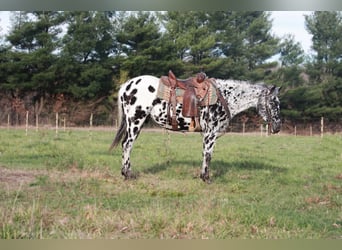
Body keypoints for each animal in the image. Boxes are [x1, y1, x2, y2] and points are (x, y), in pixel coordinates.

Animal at [109, 73, 280, 182]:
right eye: (273, 102)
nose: (277, 127)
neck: (225, 97)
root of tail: (127, 85)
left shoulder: (207, 134)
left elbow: (205, 154)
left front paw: (202, 175)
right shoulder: (211, 133)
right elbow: (208, 155)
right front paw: (206, 178)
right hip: (135, 121)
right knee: (127, 145)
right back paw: (127, 174)